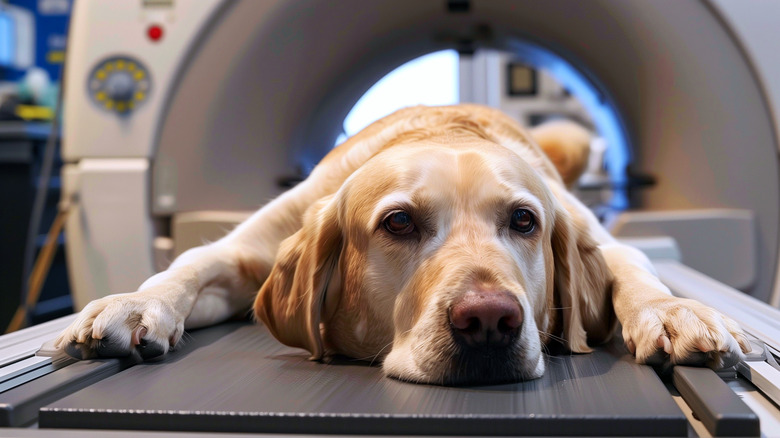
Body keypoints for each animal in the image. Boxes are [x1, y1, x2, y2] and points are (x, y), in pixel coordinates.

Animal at [54, 104, 748, 384]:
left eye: (524, 221)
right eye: (398, 223)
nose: (489, 321)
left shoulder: (599, 242)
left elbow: (635, 268)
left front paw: (673, 312)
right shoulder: (251, 252)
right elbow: (192, 262)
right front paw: (133, 304)